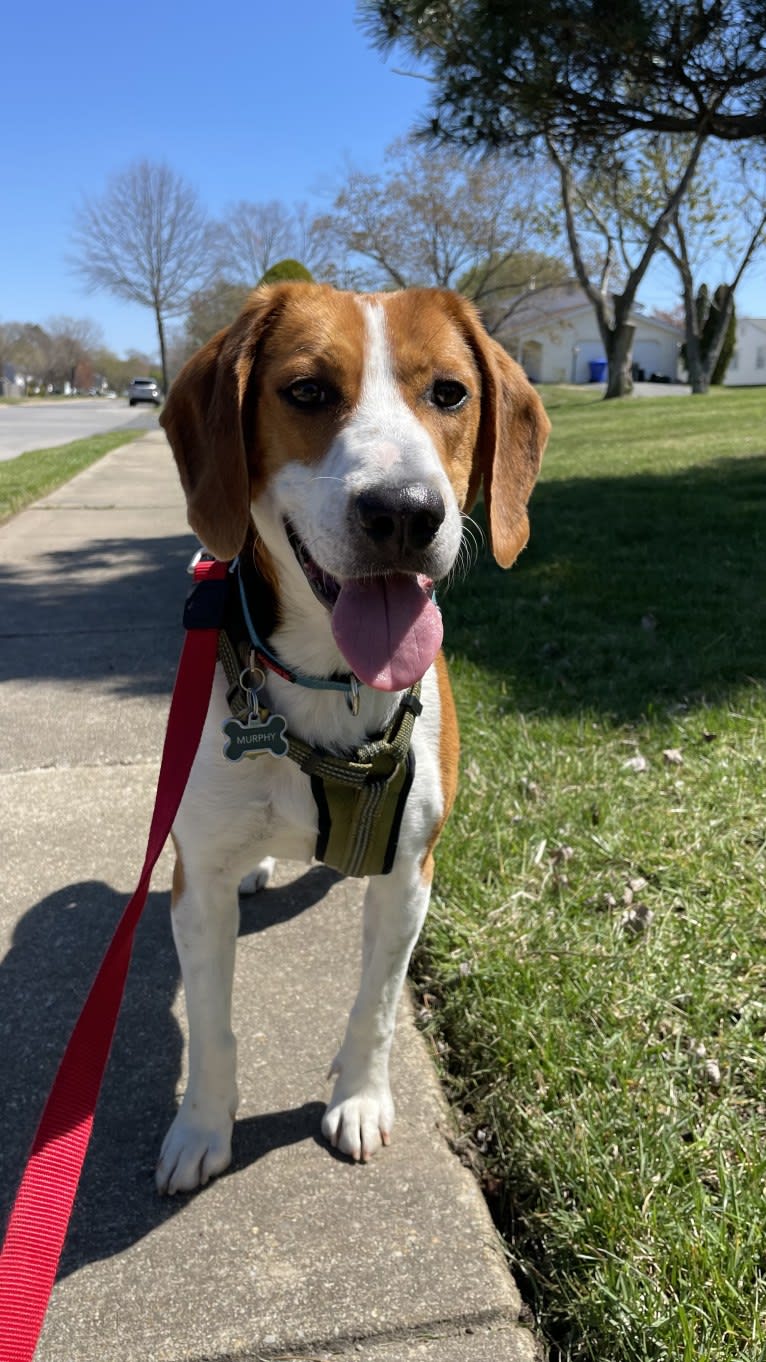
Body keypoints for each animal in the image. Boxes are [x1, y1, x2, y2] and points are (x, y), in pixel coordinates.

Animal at [156, 284, 547, 1193]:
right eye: (306, 391)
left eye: (450, 393)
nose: (404, 512)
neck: (334, 683)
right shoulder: (196, 885)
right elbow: (212, 1023)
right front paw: (200, 1129)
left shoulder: (409, 873)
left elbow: (376, 1005)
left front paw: (361, 1100)